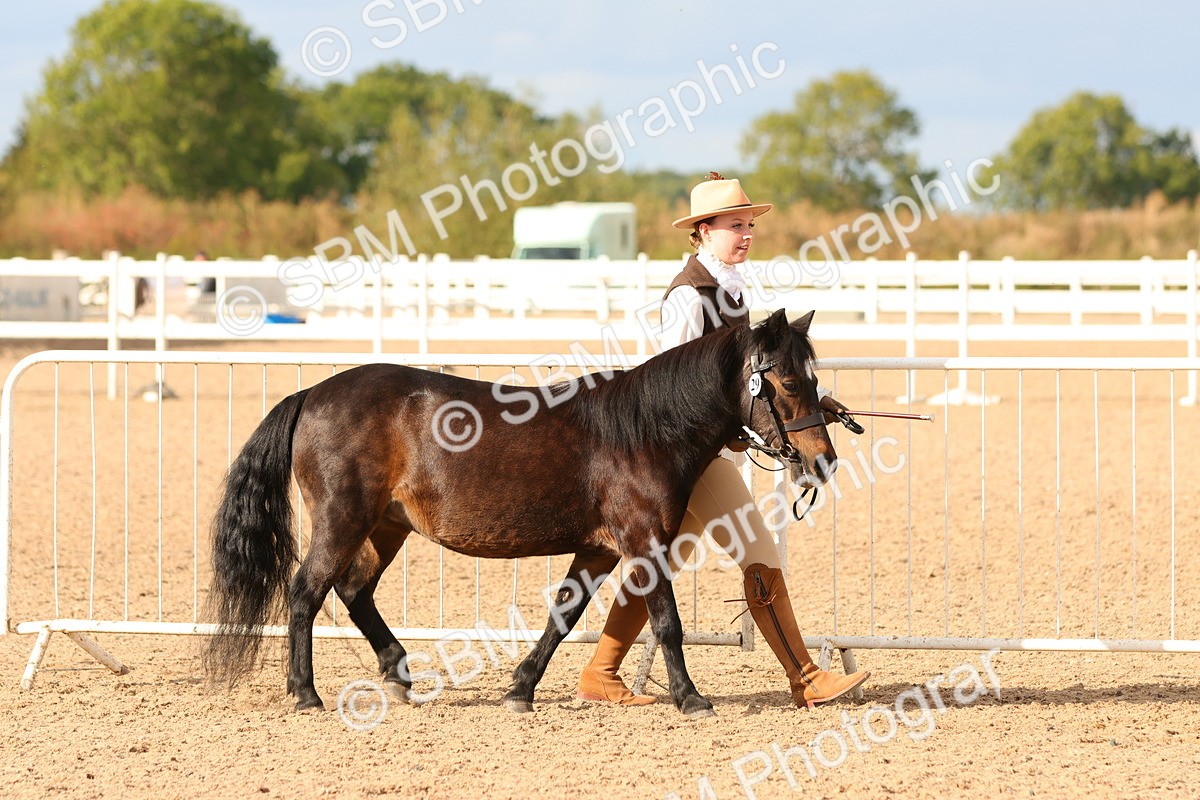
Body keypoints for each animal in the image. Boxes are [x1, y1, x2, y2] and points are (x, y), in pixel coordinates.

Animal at [203, 308, 837, 717]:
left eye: (812, 378)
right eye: (785, 381)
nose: (823, 459)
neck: (644, 430)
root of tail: (312, 394)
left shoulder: (599, 550)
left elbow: (564, 616)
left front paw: (521, 689)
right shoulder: (643, 544)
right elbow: (666, 622)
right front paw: (690, 698)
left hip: (385, 526)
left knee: (354, 591)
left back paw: (399, 673)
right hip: (343, 519)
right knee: (306, 591)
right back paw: (305, 692)